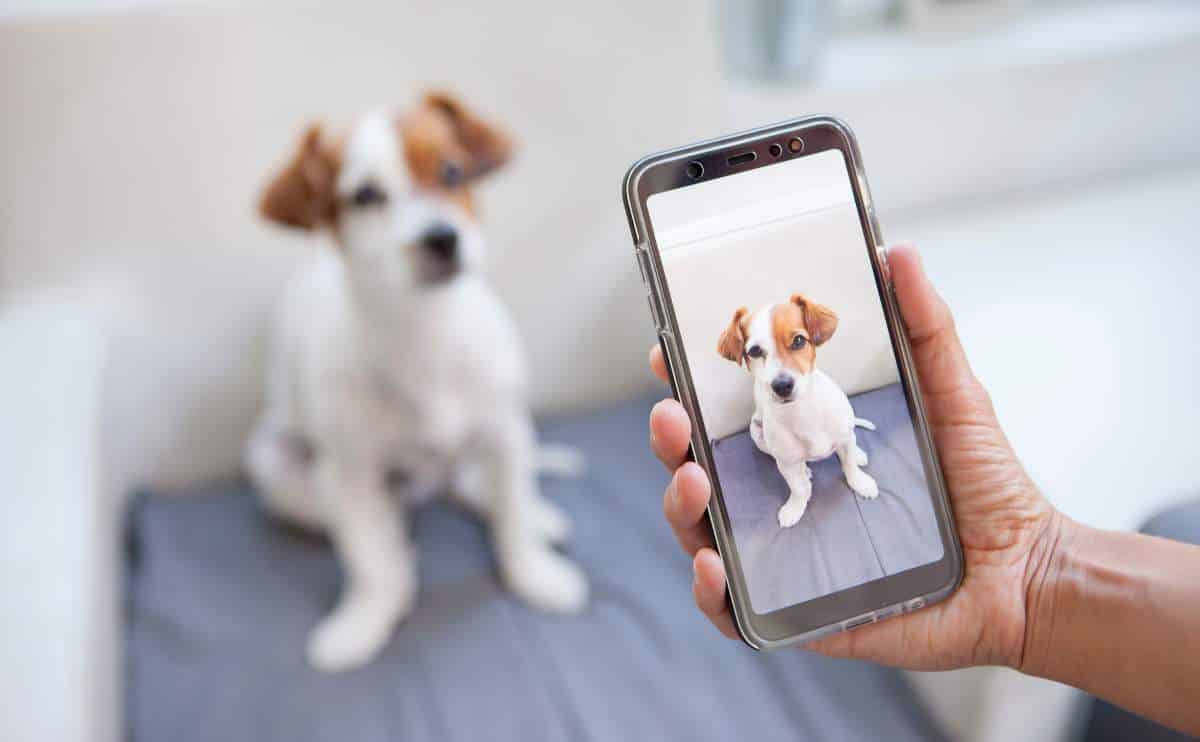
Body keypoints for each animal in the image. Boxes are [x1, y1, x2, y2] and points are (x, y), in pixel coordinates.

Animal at [244, 91, 585, 672]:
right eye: (364, 195)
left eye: (452, 171)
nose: (442, 238)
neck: (426, 331)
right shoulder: (350, 474)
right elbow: (368, 559)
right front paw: (363, 620)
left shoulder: (506, 431)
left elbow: (512, 516)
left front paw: (535, 573)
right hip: (276, 464)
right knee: (375, 523)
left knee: (478, 486)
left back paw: (537, 515)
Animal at [715, 292, 878, 525]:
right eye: (754, 351)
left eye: (799, 340)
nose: (782, 385)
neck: (802, 411)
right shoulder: (786, 463)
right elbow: (799, 488)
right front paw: (795, 507)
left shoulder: (844, 438)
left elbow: (849, 466)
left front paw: (860, 482)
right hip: (757, 434)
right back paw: (806, 469)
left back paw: (858, 454)